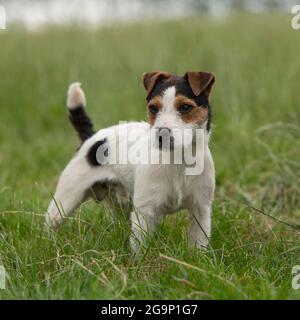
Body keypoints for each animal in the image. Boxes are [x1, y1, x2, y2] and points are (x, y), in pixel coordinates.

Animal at [45, 72, 216, 252]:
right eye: (153, 108)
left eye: (185, 107)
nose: (161, 135)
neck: (178, 160)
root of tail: (91, 137)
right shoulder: (144, 213)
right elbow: (139, 247)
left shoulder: (201, 210)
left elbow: (199, 242)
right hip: (66, 200)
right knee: (51, 223)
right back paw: (50, 244)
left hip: (120, 205)